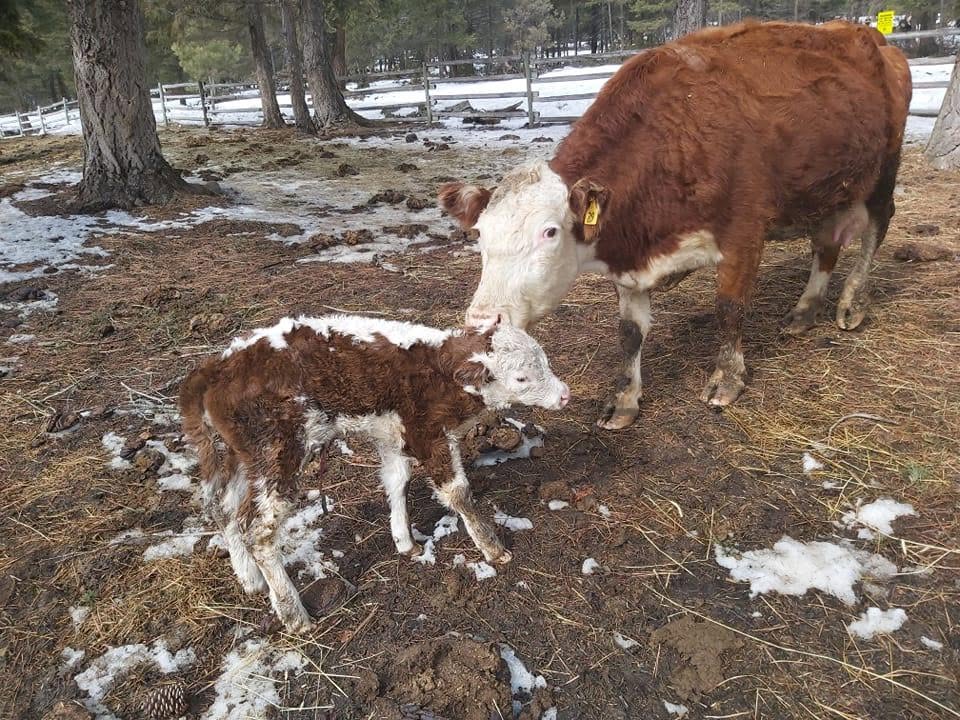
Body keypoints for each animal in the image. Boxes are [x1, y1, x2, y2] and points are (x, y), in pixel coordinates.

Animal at [438, 21, 912, 430]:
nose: (481, 320)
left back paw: (852, 303)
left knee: (876, 230)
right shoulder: (630, 260)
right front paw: (625, 400)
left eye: (549, 232)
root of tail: (870, 35)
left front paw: (727, 379)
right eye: (479, 235)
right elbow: (629, 334)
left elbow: (729, 310)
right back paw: (804, 310)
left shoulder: (744, 234)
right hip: (827, 187)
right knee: (827, 242)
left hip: (884, 170)